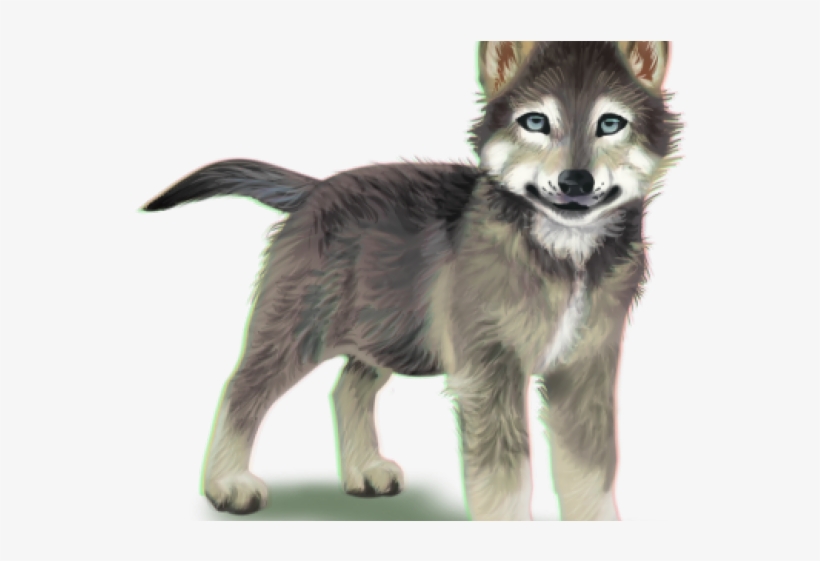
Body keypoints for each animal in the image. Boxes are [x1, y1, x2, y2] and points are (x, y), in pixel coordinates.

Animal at [143, 41, 682, 521]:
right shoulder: (489, 373)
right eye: (535, 121)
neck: (564, 250)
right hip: (300, 325)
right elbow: (504, 477)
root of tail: (315, 189)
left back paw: (364, 471)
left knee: (349, 389)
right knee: (242, 388)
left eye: (610, 123)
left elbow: (591, 469)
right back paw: (227, 484)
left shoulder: (586, 368)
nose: (575, 182)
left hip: (387, 329)